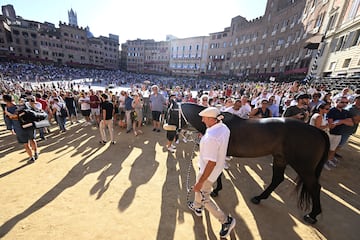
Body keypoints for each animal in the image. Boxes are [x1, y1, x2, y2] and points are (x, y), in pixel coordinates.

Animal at [174, 102, 330, 223]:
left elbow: (217, 173)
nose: (172, 133)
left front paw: (215, 190)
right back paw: (259, 198)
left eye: (171, 112)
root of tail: (318, 131)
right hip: (280, 158)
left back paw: (312, 215)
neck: (218, 123)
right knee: (277, 179)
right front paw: (216, 189)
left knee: (315, 187)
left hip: (304, 167)